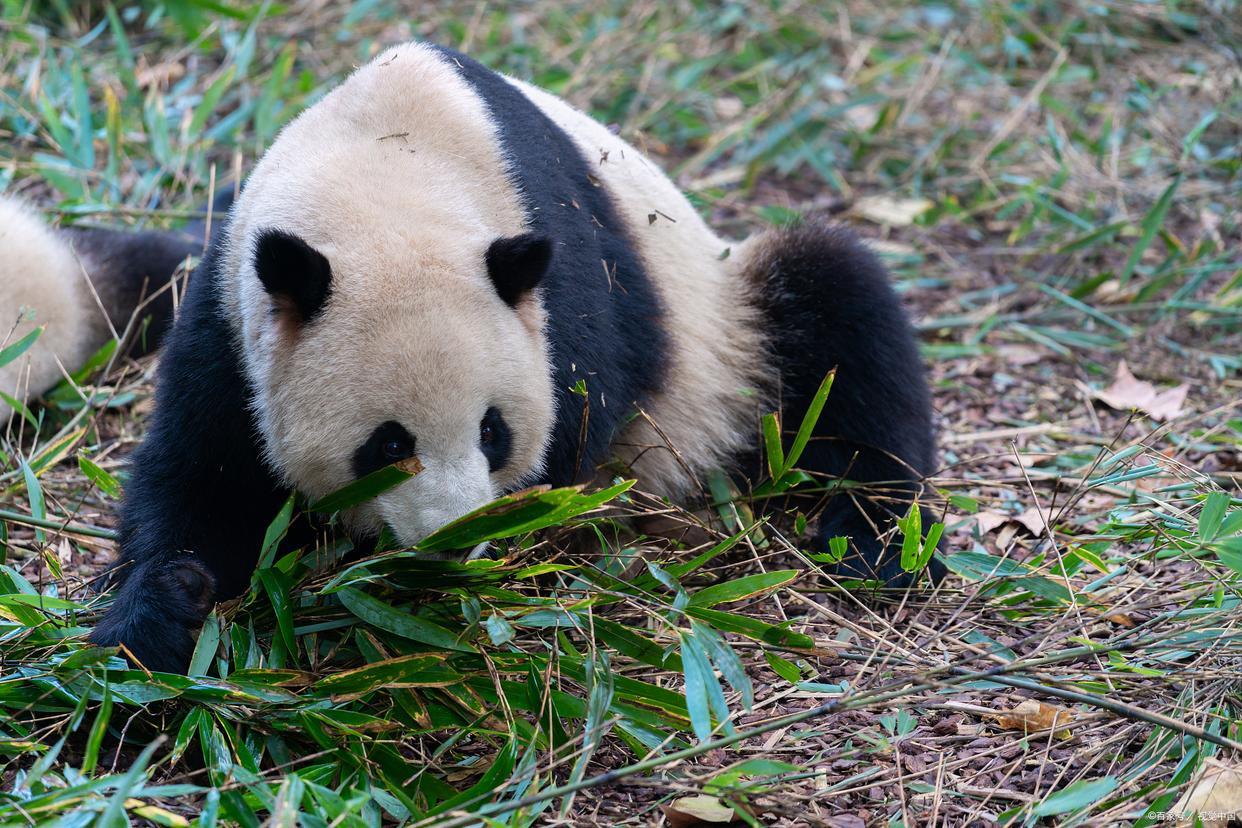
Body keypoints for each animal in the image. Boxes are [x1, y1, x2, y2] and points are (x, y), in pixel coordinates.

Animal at [70, 42, 938, 675]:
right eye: (388, 443)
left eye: (493, 432)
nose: (452, 544)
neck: (387, 174)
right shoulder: (230, 304)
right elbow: (199, 473)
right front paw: (161, 609)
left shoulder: (567, 281)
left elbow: (577, 427)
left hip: (729, 329)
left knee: (840, 316)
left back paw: (876, 541)